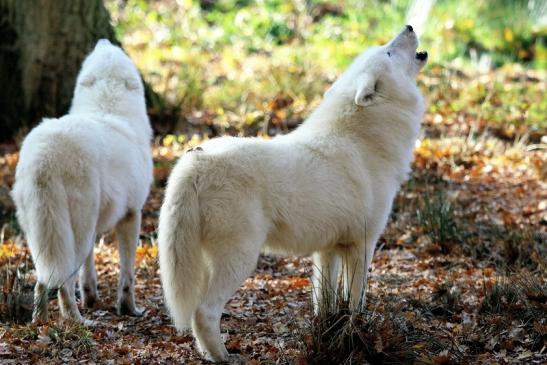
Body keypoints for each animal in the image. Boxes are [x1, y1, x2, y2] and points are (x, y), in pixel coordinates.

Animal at [11, 39, 153, 322]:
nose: (104, 40)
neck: (107, 106)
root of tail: (45, 156)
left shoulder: (96, 229)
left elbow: (88, 270)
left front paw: (91, 298)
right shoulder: (132, 216)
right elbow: (127, 274)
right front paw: (129, 309)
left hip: (44, 235)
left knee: (43, 280)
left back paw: (40, 322)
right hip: (74, 232)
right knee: (63, 284)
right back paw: (77, 321)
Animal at [158, 26, 428, 362]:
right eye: (388, 52)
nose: (409, 27)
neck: (363, 141)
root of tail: (196, 161)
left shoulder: (328, 250)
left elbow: (325, 303)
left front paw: (328, 338)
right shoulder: (362, 245)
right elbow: (357, 303)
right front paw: (358, 338)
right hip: (240, 259)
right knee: (203, 312)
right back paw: (225, 357)